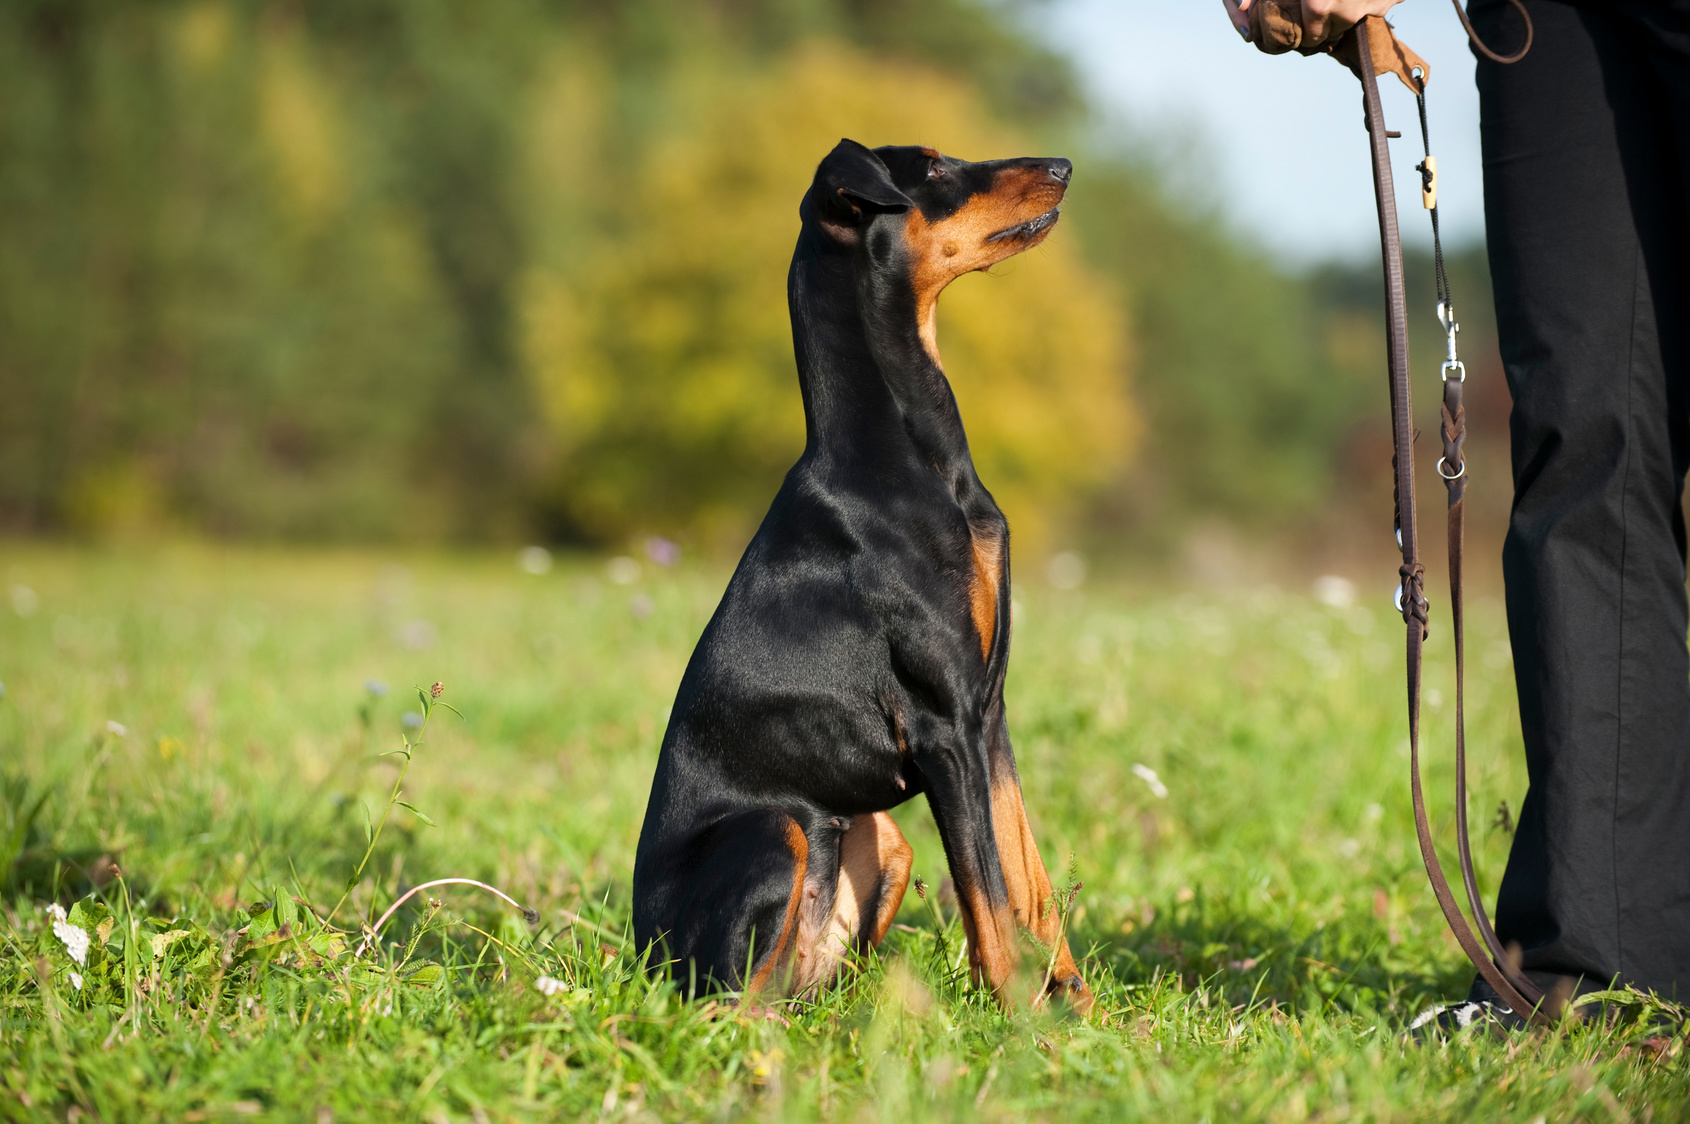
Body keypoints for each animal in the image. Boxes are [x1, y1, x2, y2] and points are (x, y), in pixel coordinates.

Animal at [635, 133, 1095, 1007]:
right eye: (936, 166)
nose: (1063, 167)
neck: (910, 457)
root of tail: (639, 953)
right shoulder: (943, 723)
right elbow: (988, 894)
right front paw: (1017, 1016)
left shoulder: (987, 712)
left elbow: (1028, 877)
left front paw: (1078, 1007)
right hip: (775, 829)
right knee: (724, 1002)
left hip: (878, 839)